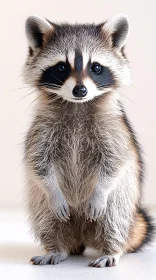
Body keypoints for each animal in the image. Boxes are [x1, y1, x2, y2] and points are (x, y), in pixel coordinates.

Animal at [23, 14, 155, 266]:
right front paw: (52, 190)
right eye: (62, 67)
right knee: (47, 219)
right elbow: (38, 162)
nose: (80, 90)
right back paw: (57, 248)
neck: (77, 105)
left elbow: (115, 162)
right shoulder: (42, 128)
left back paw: (111, 249)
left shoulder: (114, 129)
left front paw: (101, 190)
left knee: (115, 219)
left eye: (96, 67)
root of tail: (82, 236)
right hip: (43, 204)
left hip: (123, 201)